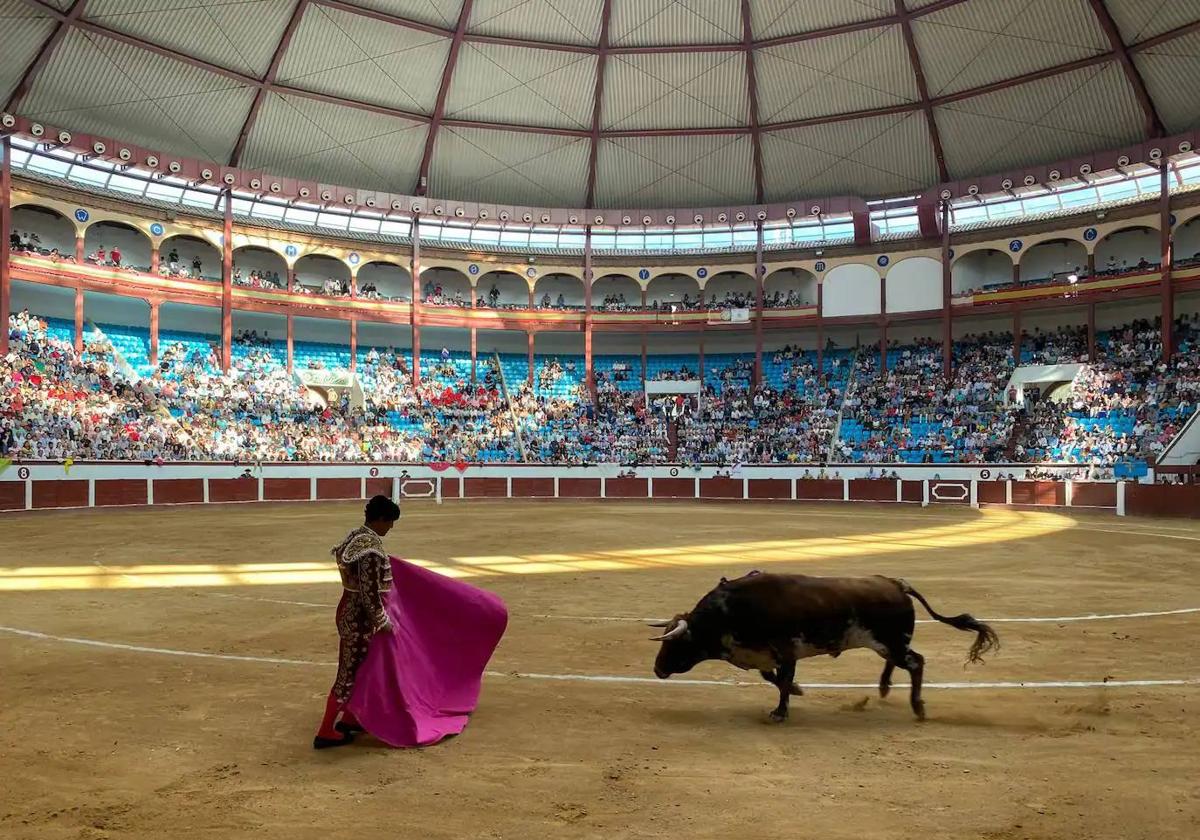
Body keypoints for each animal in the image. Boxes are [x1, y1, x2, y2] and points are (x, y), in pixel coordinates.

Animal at [652, 571, 998, 720]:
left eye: (675, 642)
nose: (656, 669)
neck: (729, 612)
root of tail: (896, 583)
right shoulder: (766, 655)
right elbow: (773, 678)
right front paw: (796, 693)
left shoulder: (786, 651)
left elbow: (782, 680)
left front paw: (781, 711)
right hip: (887, 643)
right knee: (901, 661)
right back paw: (884, 687)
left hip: (891, 641)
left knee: (916, 662)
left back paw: (918, 707)